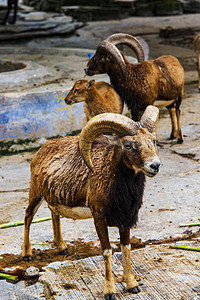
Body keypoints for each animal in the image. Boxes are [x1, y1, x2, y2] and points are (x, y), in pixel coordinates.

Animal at [21, 106, 160, 298]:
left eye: (153, 141)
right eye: (128, 145)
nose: (155, 166)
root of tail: (41, 150)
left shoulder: (126, 220)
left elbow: (126, 248)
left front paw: (132, 285)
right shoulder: (99, 218)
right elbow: (107, 251)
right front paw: (109, 292)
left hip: (52, 198)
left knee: (54, 214)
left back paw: (62, 247)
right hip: (36, 193)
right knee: (28, 216)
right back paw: (27, 254)